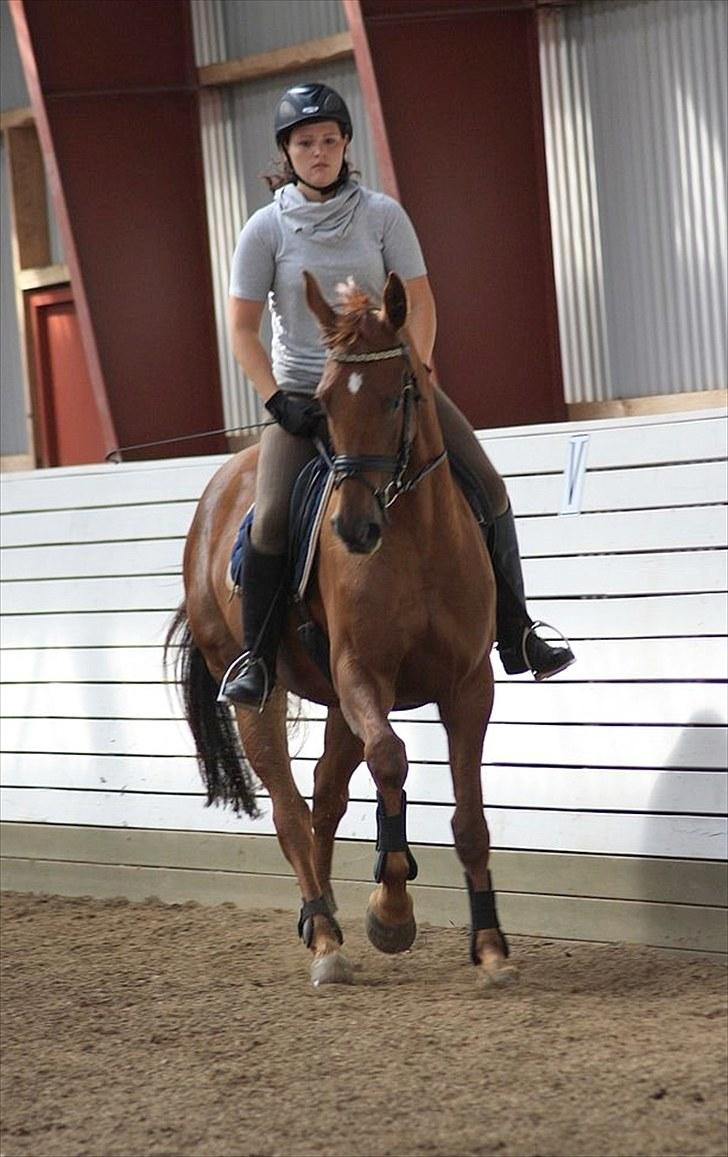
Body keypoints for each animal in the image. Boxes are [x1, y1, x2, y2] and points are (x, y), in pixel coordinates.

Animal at [167, 270, 513, 985]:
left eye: (398, 393)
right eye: (322, 403)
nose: (354, 528)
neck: (415, 536)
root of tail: (217, 491)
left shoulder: (469, 685)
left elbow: (468, 819)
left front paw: (490, 944)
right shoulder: (363, 676)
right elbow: (390, 760)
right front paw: (391, 912)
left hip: (333, 698)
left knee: (325, 797)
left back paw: (318, 917)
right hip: (259, 688)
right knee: (290, 808)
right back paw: (326, 936)